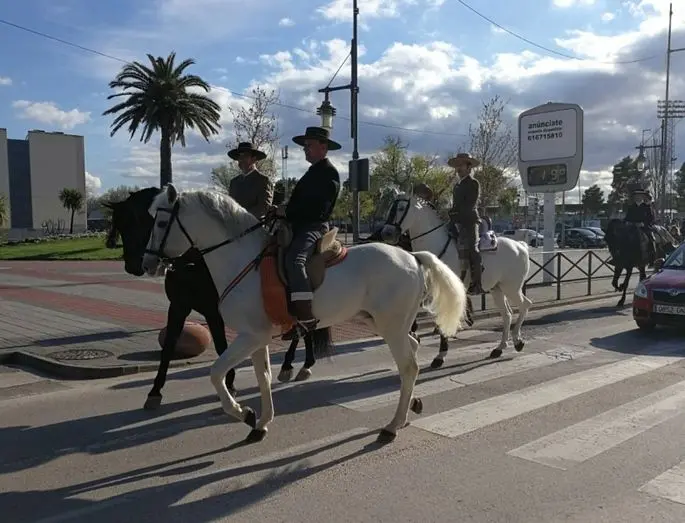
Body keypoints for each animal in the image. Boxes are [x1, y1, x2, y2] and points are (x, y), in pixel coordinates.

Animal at [104, 188, 316, 411]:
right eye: (119, 224)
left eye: (145, 221)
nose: (137, 265)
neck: (194, 264)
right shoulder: (178, 307)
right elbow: (169, 346)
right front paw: (154, 392)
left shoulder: (214, 312)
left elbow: (221, 346)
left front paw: (230, 385)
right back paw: (300, 364)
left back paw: (294, 364)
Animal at [141, 184, 468, 444]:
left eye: (161, 222)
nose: (147, 263)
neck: (244, 261)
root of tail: (412, 256)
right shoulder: (258, 338)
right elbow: (263, 378)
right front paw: (261, 423)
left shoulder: (249, 336)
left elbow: (216, 372)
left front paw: (243, 413)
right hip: (386, 324)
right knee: (412, 352)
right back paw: (412, 404)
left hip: (392, 326)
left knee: (409, 366)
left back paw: (392, 425)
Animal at [381, 193, 532, 361]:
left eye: (401, 208)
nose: (386, 233)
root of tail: (520, 245)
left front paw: (440, 355)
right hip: (497, 289)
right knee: (507, 315)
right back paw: (499, 348)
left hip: (511, 287)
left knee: (525, 305)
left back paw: (518, 341)